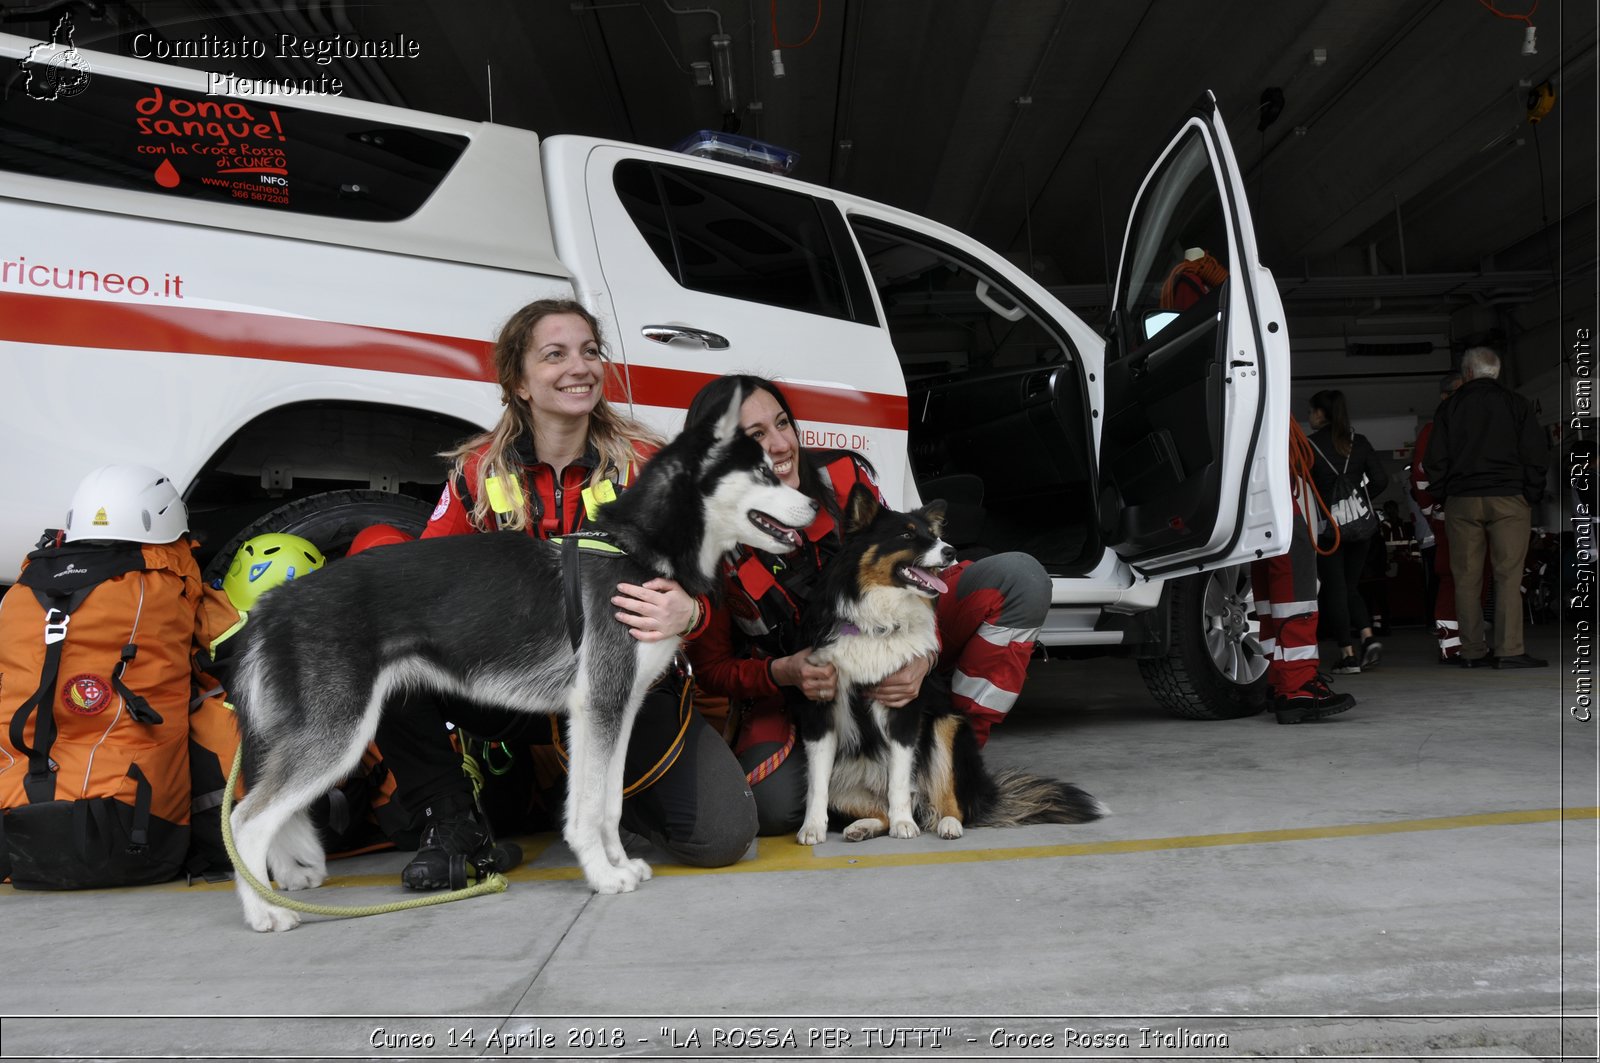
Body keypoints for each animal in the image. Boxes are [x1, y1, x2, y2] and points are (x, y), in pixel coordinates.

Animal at [225, 390, 819, 928]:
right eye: (764, 471)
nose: (814, 504)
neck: (634, 549)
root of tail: (275, 603)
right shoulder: (600, 709)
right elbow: (585, 810)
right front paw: (602, 877)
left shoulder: (613, 711)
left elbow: (607, 805)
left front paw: (619, 864)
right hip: (339, 735)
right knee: (244, 821)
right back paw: (263, 911)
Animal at [787, 483, 1100, 845]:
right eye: (906, 535)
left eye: (934, 535)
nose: (950, 551)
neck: (878, 622)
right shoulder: (820, 706)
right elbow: (817, 782)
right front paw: (812, 827)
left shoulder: (903, 706)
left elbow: (899, 778)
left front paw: (904, 824)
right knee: (879, 808)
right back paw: (862, 827)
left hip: (947, 727)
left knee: (946, 802)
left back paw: (947, 824)